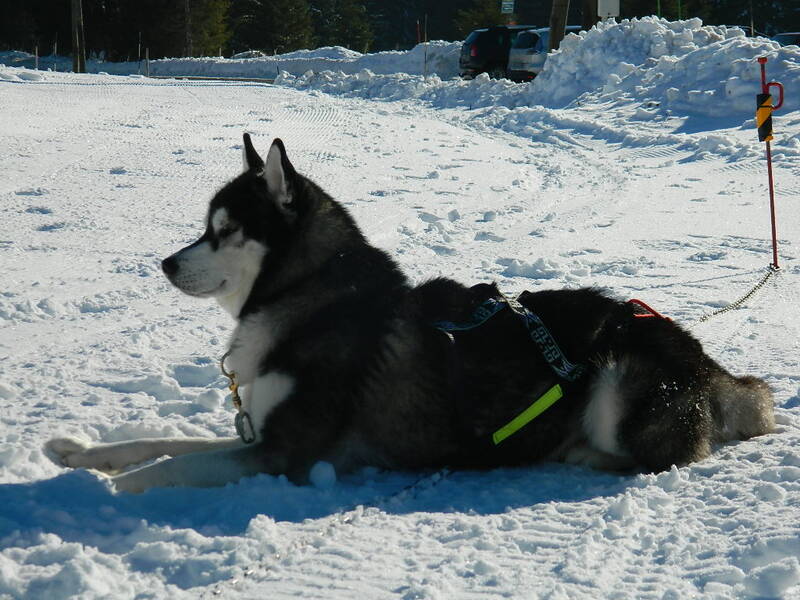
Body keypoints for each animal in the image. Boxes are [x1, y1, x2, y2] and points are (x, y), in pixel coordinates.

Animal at [45, 136, 776, 492]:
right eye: (205, 228)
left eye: (223, 231)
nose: (166, 264)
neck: (310, 298)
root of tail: (712, 365)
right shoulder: (259, 434)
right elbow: (154, 443)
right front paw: (79, 453)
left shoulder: (283, 453)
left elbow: (169, 466)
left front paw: (113, 490)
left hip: (618, 378)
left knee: (657, 454)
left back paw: (574, 453)